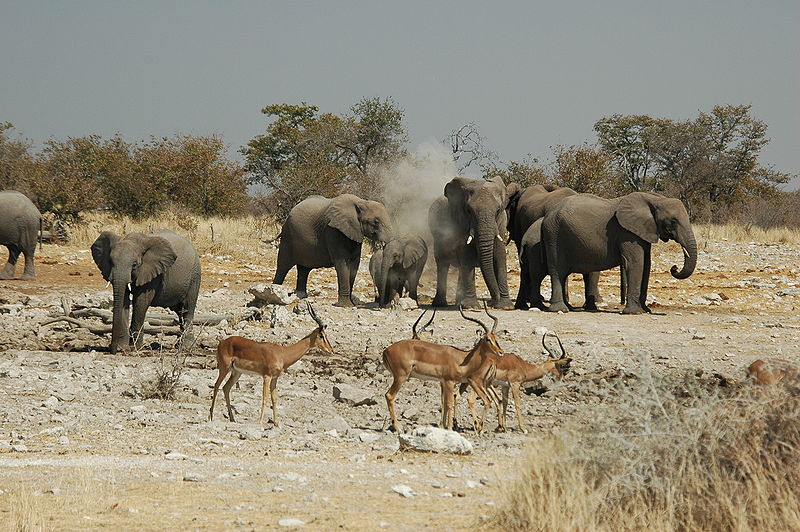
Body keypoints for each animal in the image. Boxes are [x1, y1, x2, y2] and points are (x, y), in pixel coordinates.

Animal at [382, 306, 500, 434]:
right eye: (487, 339)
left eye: (496, 338)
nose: (500, 352)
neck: (462, 359)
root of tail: (386, 350)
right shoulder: (449, 382)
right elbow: (449, 403)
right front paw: (450, 428)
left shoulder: (443, 382)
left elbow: (444, 402)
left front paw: (443, 426)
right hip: (400, 377)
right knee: (389, 395)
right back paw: (398, 427)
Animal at [428, 177, 516, 310]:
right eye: (469, 211)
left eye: (498, 211)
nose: (491, 303)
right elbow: (467, 254)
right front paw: (472, 307)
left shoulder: (501, 222)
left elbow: (500, 256)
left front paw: (505, 306)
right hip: (437, 237)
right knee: (442, 264)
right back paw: (440, 304)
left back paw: (459, 303)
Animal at [540, 192, 696, 314]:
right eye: (673, 221)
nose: (674, 268)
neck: (655, 199)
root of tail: (547, 215)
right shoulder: (627, 233)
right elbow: (635, 263)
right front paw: (635, 312)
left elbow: (646, 265)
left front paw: (646, 310)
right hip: (553, 235)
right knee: (557, 270)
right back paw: (560, 309)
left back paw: (569, 308)